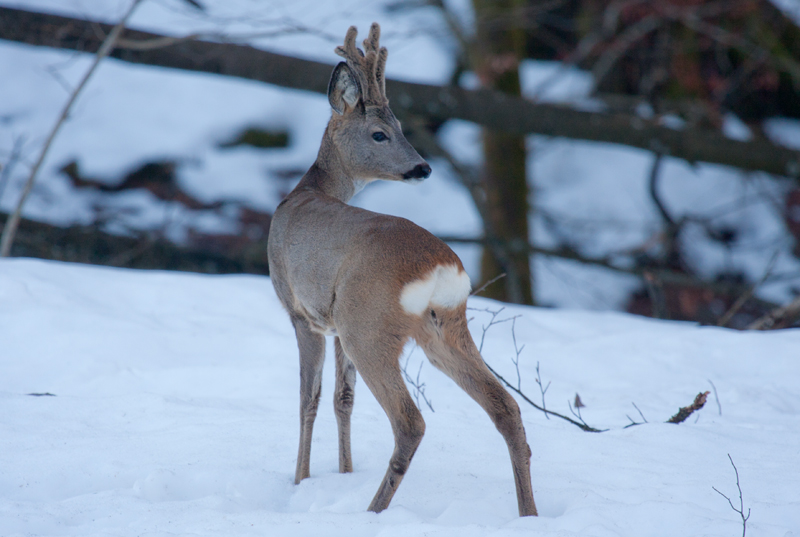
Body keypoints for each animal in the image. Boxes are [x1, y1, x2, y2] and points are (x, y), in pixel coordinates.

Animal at [268, 24, 536, 516]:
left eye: (396, 130)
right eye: (381, 133)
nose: (423, 167)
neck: (306, 192)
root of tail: (441, 267)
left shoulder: (302, 313)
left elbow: (308, 399)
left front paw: (300, 481)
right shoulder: (333, 324)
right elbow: (343, 398)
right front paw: (344, 473)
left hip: (369, 323)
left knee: (410, 422)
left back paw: (373, 510)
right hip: (444, 326)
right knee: (506, 407)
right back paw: (529, 513)